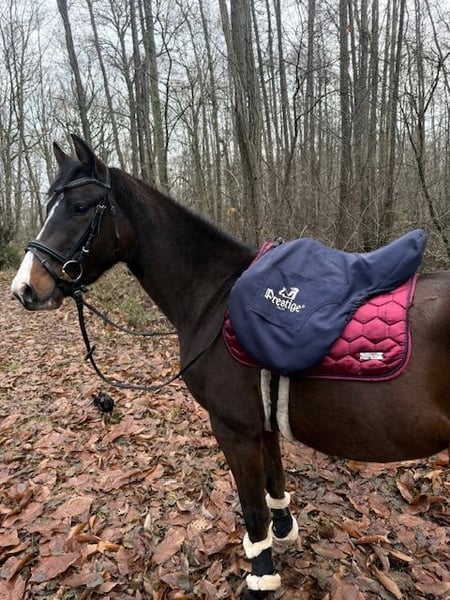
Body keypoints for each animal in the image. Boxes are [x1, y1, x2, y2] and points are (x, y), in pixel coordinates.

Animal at [11, 135, 450, 599]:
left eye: (80, 207)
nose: (25, 288)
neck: (215, 298)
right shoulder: (263, 422)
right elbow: (275, 482)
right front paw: (283, 532)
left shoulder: (233, 429)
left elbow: (253, 509)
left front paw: (261, 575)